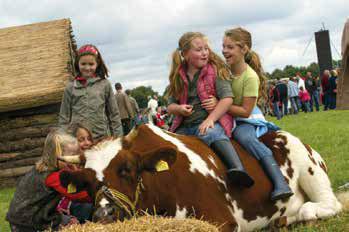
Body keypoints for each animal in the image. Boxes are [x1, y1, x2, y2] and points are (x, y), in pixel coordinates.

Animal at [58, 124, 344, 231]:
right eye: (87, 182)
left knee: (325, 205)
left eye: (126, 169)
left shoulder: (223, 221)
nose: (104, 215)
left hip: (309, 168)